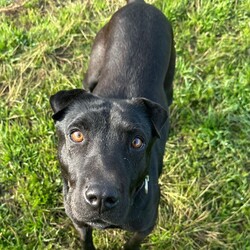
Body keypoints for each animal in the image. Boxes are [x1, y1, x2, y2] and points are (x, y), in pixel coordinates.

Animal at [49, 0, 175, 249]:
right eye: (76, 135)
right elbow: (86, 240)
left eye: (137, 142)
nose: (101, 198)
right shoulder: (78, 221)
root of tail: (140, 5)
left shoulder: (144, 229)